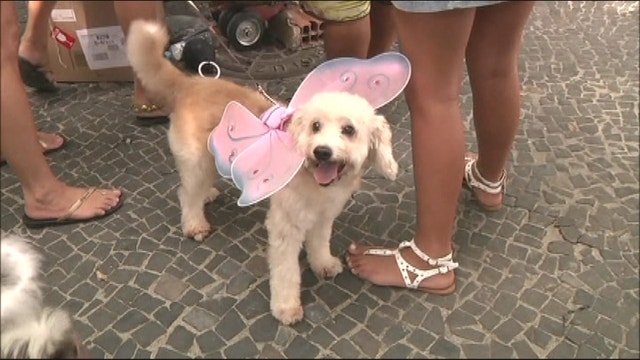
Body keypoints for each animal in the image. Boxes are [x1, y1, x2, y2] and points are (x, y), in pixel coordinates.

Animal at [127, 19, 398, 324]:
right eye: (315, 126)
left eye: (349, 130)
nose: (322, 152)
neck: (315, 182)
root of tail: (191, 83)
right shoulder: (284, 228)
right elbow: (286, 272)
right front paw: (286, 307)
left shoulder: (323, 218)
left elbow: (319, 243)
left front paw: (323, 263)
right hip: (198, 162)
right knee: (186, 194)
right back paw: (195, 223)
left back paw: (207, 194)